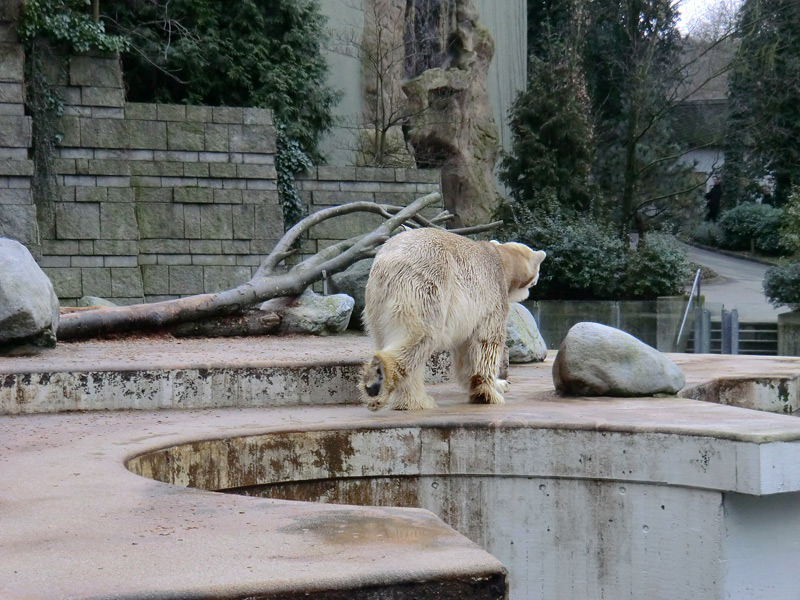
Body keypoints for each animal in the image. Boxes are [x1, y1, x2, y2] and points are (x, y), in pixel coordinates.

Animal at [360, 227, 544, 410]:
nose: (534, 285)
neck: (500, 259)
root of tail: (390, 261)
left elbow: (466, 353)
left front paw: (499, 384)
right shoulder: (491, 297)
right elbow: (486, 343)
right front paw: (489, 393)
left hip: (376, 303)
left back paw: (415, 401)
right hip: (427, 286)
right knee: (421, 335)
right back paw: (380, 379)